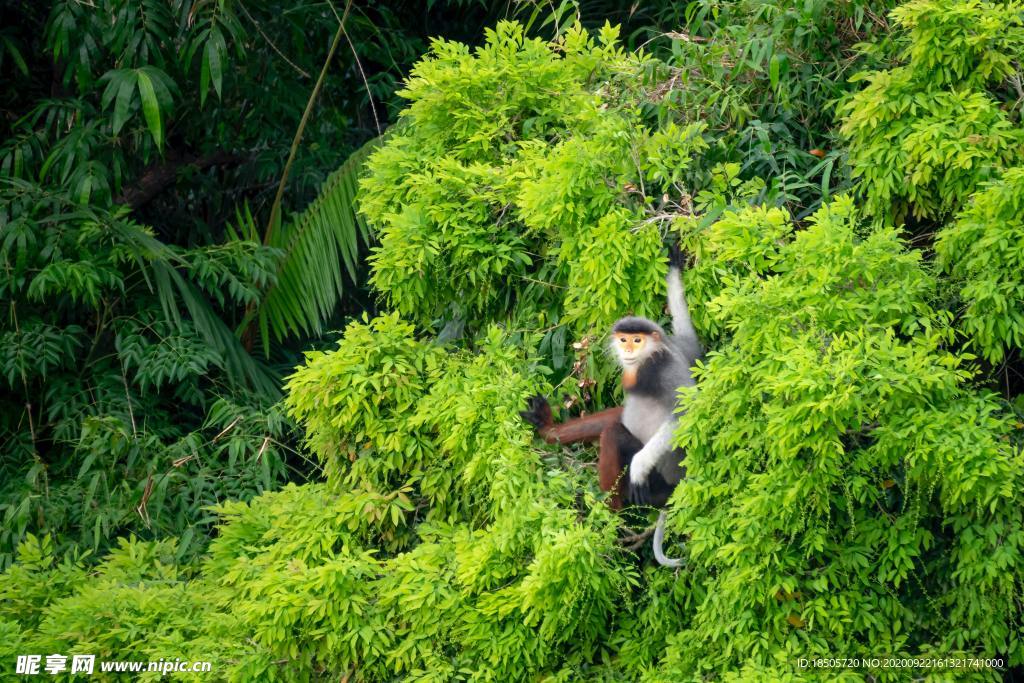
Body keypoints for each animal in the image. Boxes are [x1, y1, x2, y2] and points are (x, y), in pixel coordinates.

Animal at [520, 242, 704, 569]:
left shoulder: (665, 368)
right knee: (612, 423)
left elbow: (686, 411)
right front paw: (673, 267)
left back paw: (611, 523)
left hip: (659, 489)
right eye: (623, 340)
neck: (644, 365)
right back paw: (548, 428)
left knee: (614, 435)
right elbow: (690, 338)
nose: (628, 348)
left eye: (636, 340)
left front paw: (640, 466)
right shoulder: (683, 350)